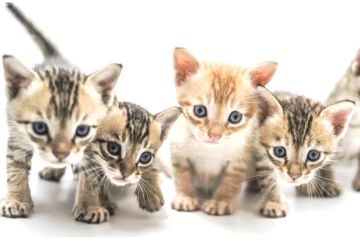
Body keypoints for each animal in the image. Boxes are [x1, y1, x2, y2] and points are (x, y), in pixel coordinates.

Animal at [0, 3, 121, 217]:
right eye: (40, 128)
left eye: (82, 130)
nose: (61, 154)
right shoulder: (17, 134)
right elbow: (15, 167)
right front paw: (16, 199)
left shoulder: (94, 144)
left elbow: (92, 174)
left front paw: (90, 205)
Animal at [170, 47, 278, 215]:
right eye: (199, 110)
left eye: (235, 117)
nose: (214, 135)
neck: (210, 149)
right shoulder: (177, 149)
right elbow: (181, 175)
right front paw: (185, 197)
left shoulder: (240, 158)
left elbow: (230, 180)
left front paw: (219, 201)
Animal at [250, 86, 354, 217]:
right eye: (279, 151)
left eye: (313, 155)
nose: (294, 176)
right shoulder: (260, 148)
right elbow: (267, 177)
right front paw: (274, 202)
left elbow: (328, 163)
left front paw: (328, 184)